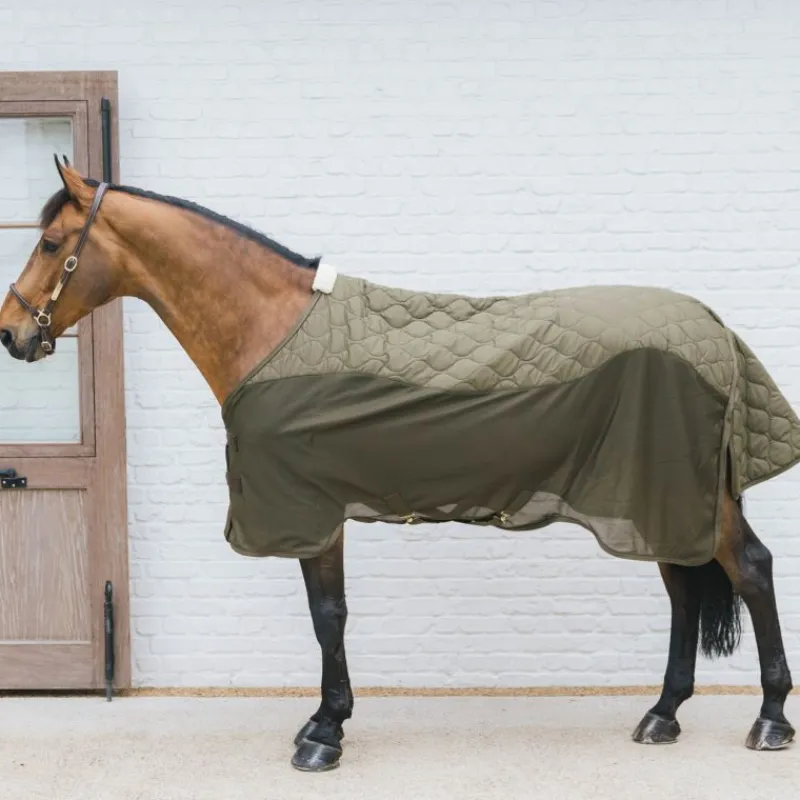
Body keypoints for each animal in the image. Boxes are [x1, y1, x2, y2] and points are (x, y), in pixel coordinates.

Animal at [0, 156, 796, 772]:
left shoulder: (310, 508)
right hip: (655, 493)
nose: (11, 333)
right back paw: (662, 714)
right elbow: (329, 614)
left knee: (750, 570)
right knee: (684, 589)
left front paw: (323, 734)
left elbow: (328, 616)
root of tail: (713, 327)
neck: (272, 329)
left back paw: (769, 721)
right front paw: (325, 721)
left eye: (49, 242)